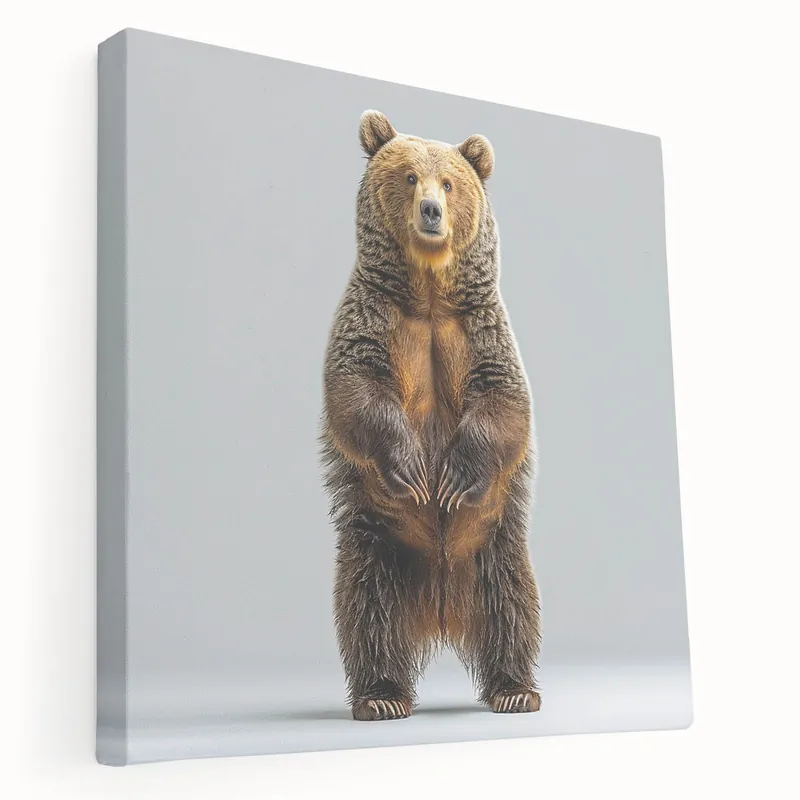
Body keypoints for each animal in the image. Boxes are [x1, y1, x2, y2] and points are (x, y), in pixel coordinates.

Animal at [320, 110, 541, 721]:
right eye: (409, 177)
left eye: (449, 182)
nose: (431, 211)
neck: (428, 294)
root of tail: (441, 610)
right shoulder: (372, 317)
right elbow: (356, 391)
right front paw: (416, 471)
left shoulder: (481, 328)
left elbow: (504, 402)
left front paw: (453, 478)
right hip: (378, 538)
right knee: (365, 607)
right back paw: (381, 696)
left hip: (495, 539)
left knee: (514, 603)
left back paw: (515, 688)